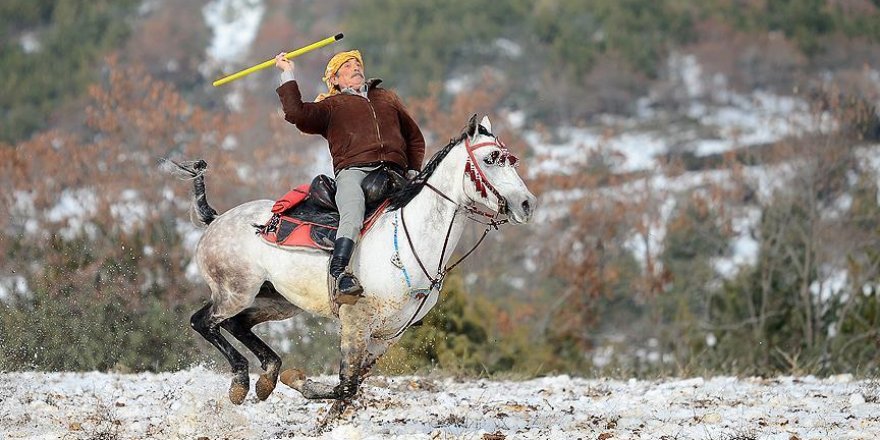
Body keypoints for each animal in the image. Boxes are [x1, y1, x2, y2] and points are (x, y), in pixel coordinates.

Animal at [167, 114, 536, 420]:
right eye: (491, 159)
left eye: (510, 158)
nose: (527, 204)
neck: (408, 238)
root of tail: (216, 219)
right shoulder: (356, 321)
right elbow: (346, 383)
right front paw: (299, 381)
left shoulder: (388, 334)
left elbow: (352, 387)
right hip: (236, 292)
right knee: (204, 322)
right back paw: (242, 381)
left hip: (277, 301)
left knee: (238, 324)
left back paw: (267, 376)